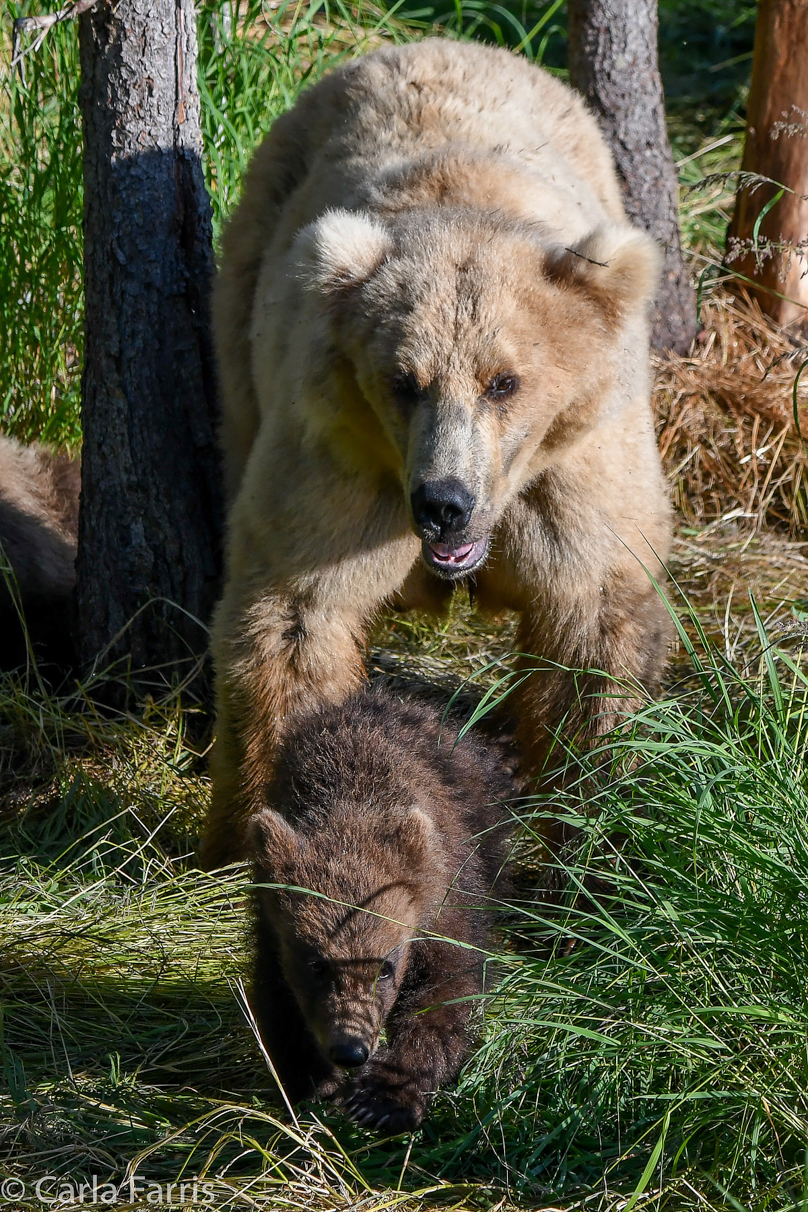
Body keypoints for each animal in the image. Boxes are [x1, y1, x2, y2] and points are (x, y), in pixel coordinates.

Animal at [248, 693, 511, 1134]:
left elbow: (448, 993)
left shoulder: (444, 904)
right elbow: (276, 1000)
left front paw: (384, 1097)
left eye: (386, 966)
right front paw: (315, 1085)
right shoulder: (270, 927)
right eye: (316, 964)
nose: (350, 1050)